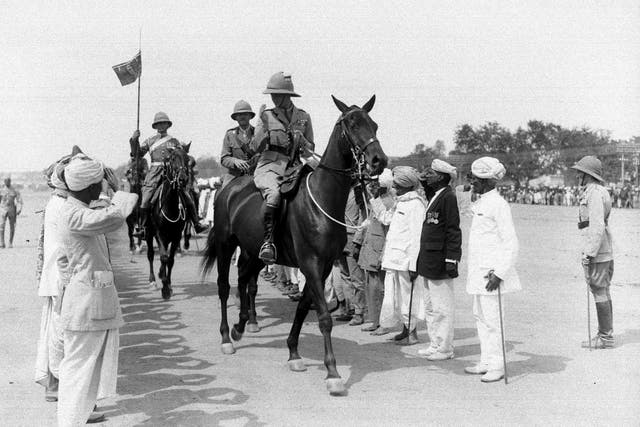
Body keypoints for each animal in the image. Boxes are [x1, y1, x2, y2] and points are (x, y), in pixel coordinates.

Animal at [148, 145, 190, 300]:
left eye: (187, 159)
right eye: (172, 159)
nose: (183, 179)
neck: (170, 205)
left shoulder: (176, 236)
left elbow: (170, 260)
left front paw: (169, 286)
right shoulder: (159, 234)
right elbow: (164, 257)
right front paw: (165, 289)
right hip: (149, 234)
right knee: (151, 255)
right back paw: (153, 280)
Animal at [202, 95, 388, 396]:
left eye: (374, 124)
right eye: (351, 123)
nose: (378, 160)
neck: (322, 200)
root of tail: (228, 188)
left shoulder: (323, 267)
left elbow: (303, 308)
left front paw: (293, 353)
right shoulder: (310, 264)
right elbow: (323, 317)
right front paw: (333, 373)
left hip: (255, 253)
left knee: (244, 281)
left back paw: (242, 325)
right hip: (225, 245)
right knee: (224, 287)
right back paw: (226, 337)